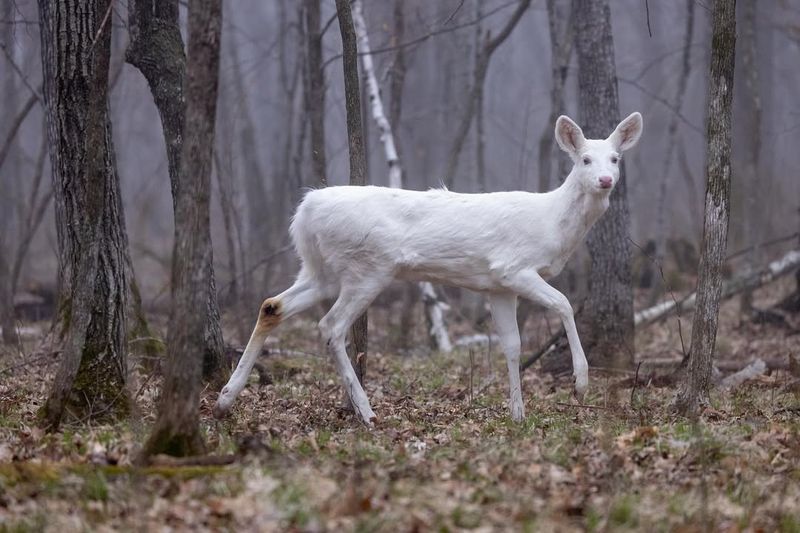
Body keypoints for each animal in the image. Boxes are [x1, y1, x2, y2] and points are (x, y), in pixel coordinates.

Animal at [212, 112, 644, 424]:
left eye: (616, 158)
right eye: (585, 159)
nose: (605, 179)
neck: (551, 222)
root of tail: (305, 212)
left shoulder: (496, 286)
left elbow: (512, 344)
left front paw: (518, 414)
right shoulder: (512, 267)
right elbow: (565, 304)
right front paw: (580, 383)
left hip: (321, 270)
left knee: (272, 305)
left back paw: (225, 398)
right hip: (368, 268)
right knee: (330, 327)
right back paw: (367, 412)